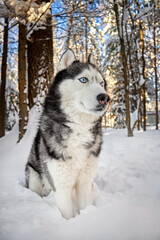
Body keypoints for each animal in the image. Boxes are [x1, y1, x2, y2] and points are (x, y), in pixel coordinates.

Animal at [25, 48, 110, 219]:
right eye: (83, 79)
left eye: (101, 83)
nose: (105, 98)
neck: (79, 129)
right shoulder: (61, 186)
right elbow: (67, 214)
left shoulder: (85, 182)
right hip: (35, 177)